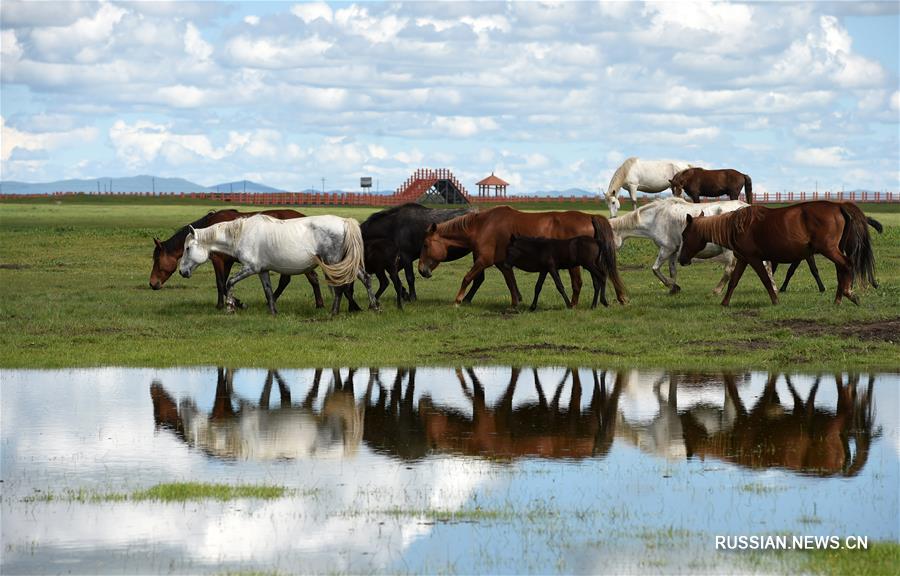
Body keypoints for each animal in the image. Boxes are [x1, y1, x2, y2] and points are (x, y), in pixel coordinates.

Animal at [149, 208, 326, 310]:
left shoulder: (219, 261)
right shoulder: (226, 263)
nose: (152, 284)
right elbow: (223, 283)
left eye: (156, 260)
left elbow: (221, 283)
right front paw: (225, 303)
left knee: (306, 279)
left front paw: (231, 304)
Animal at [179, 214, 380, 316]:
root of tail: (344, 222)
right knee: (366, 279)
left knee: (340, 287)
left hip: (333, 262)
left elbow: (229, 282)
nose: (182, 271)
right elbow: (268, 291)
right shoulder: (262, 271)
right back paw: (374, 307)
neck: (242, 234)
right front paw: (273, 311)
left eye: (188, 248)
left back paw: (334, 312)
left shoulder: (250, 268)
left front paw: (231, 306)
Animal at [416, 206, 624, 306]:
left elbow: (467, 278)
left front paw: (458, 300)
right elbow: (511, 283)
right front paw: (516, 302)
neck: (483, 225)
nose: (422, 270)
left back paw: (573, 305)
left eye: (425, 245)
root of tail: (589, 217)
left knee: (578, 284)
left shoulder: (484, 261)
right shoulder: (503, 264)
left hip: (576, 265)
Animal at [608, 197, 748, 294]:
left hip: (729, 251)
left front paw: (672, 286)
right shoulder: (673, 251)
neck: (656, 217)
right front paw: (674, 288)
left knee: (728, 269)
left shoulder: (666, 249)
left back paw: (716, 290)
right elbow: (672, 271)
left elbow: (655, 269)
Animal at [684, 201, 880, 306]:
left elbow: (765, 280)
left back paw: (848, 294)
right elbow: (733, 281)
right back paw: (838, 299)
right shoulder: (743, 259)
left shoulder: (754, 259)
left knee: (847, 265)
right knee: (842, 269)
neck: (736, 226)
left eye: (685, 234)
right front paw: (724, 303)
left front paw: (775, 300)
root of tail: (839, 206)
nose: (682, 259)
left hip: (829, 249)